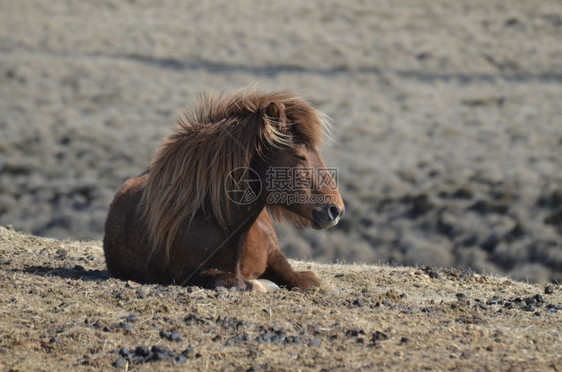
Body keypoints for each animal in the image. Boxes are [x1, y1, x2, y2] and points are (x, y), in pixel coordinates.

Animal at [103, 89, 344, 290]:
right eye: (300, 156)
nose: (336, 210)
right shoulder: (195, 274)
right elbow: (240, 282)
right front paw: (263, 284)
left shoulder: (275, 254)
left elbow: (305, 279)